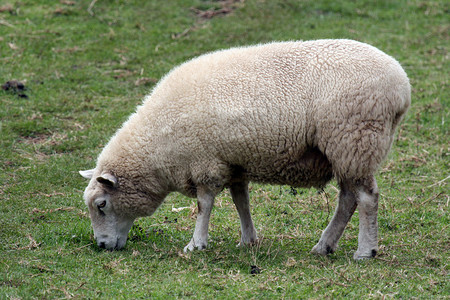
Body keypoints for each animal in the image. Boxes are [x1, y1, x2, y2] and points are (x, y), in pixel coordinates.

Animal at [79, 38, 410, 258]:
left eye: (101, 205)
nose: (101, 245)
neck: (160, 145)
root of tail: (402, 87)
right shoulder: (234, 162)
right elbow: (242, 201)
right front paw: (248, 239)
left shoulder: (206, 161)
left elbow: (204, 205)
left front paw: (196, 243)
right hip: (348, 150)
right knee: (348, 199)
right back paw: (324, 245)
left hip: (355, 138)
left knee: (366, 198)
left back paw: (365, 250)